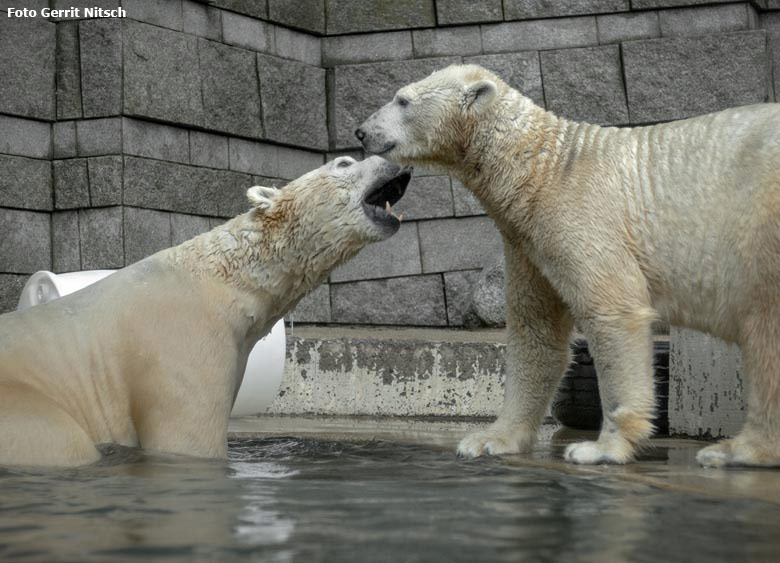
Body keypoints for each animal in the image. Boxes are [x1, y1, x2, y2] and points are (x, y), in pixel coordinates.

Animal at [356, 62, 780, 468]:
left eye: (402, 99)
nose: (361, 132)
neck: (544, 167)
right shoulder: (528, 242)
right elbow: (535, 328)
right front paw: (488, 439)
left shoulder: (581, 216)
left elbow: (612, 308)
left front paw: (601, 447)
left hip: (759, 221)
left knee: (763, 322)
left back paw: (737, 450)